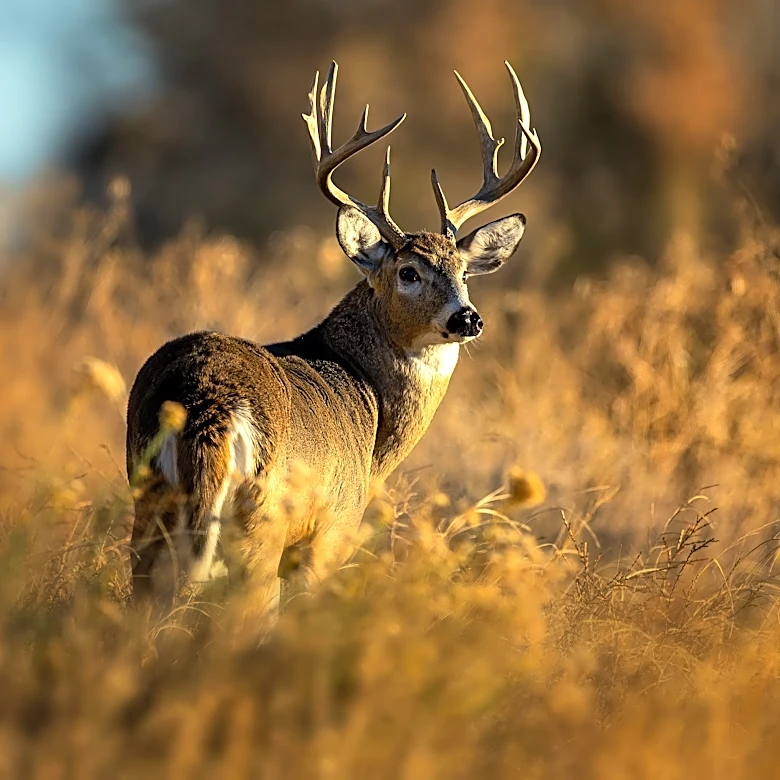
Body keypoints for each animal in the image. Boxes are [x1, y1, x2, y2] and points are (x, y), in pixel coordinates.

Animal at [126, 60, 541, 622]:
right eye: (408, 272)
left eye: (463, 271)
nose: (468, 318)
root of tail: (208, 403)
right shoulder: (332, 530)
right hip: (261, 525)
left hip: (147, 502)